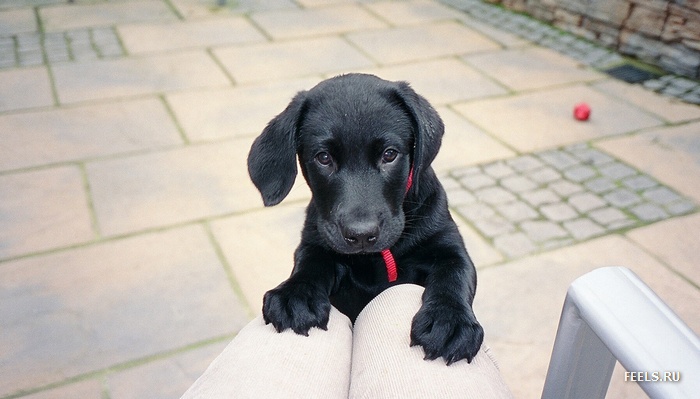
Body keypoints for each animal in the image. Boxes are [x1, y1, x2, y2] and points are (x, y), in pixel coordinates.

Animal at [249, 73, 484, 364]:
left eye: (389, 154)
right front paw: (295, 294)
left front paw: (448, 320)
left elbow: (455, 273)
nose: (361, 235)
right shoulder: (317, 238)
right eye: (323, 158)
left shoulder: (448, 244)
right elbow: (310, 261)